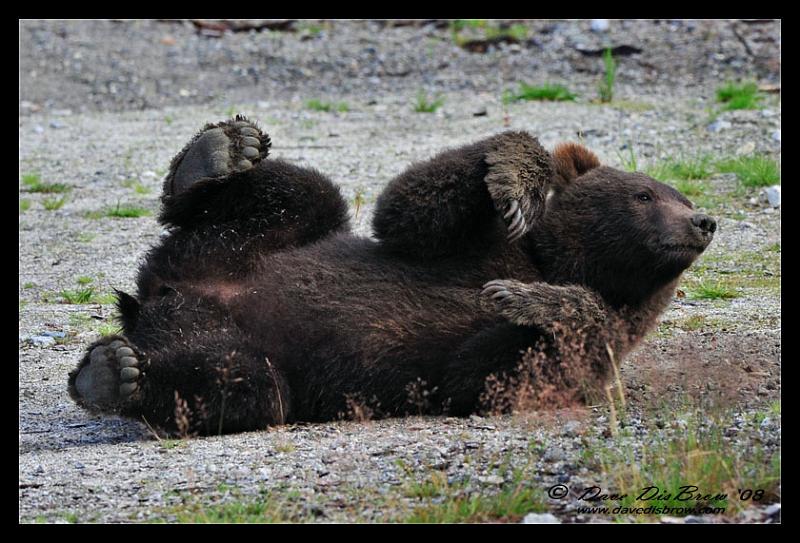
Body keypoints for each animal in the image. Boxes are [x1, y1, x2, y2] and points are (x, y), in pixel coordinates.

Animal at [67, 116, 716, 436]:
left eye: (678, 195)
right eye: (645, 193)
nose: (703, 220)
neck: (555, 260)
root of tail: (157, 300)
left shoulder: (589, 356)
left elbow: (492, 372)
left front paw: (528, 300)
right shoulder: (476, 244)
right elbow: (409, 208)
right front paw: (514, 177)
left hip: (247, 348)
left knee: (239, 384)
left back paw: (114, 372)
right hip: (247, 251)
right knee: (302, 194)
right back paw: (220, 151)